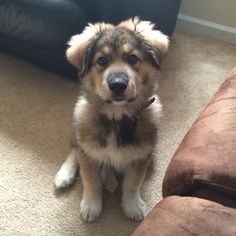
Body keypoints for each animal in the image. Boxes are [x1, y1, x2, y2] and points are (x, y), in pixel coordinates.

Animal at [54, 17, 169, 222]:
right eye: (102, 60)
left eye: (132, 58)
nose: (117, 85)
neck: (117, 117)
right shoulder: (88, 153)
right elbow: (91, 182)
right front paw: (91, 206)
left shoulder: (141, 156)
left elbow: (132, 184)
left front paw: (132, 206)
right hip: (78, 128)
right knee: (75, 150)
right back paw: (65, 175)